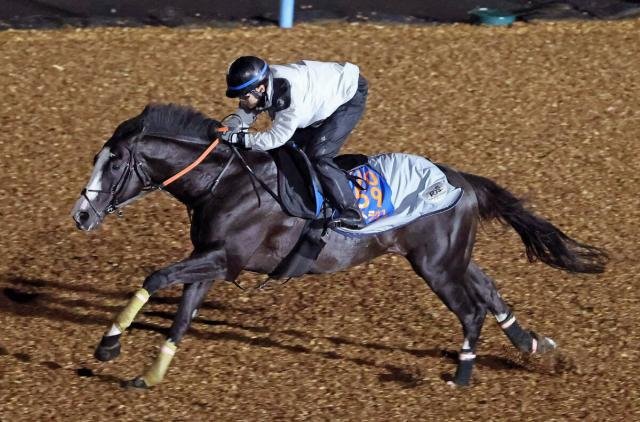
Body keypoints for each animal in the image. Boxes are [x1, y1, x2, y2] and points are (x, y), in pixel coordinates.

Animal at [71, 104, 608, 388]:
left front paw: (109, 344)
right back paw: (532, 344)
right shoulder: (213, 260)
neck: (226, 184)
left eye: (113, 163)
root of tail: (461, 180)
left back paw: (461, 374)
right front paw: (150, 373)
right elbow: (182, 315)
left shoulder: (224, 259)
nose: (81, 214)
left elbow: (156, 276)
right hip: (450, 257)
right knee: (489, 289)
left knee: (471, 308)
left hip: (436, 265)